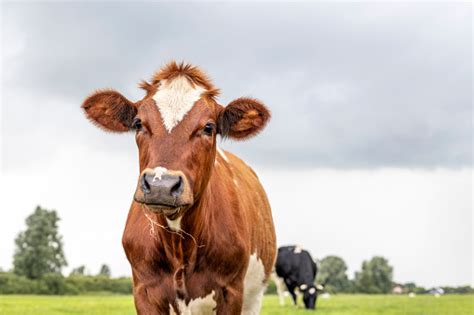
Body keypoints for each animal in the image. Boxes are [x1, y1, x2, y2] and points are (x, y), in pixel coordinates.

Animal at [80, 62, 276, 315]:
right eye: (138, 123)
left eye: (209, 127)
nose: (160, 184)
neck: (179, 247)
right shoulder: (144, 291)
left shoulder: (232, 291)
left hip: (254, 298)